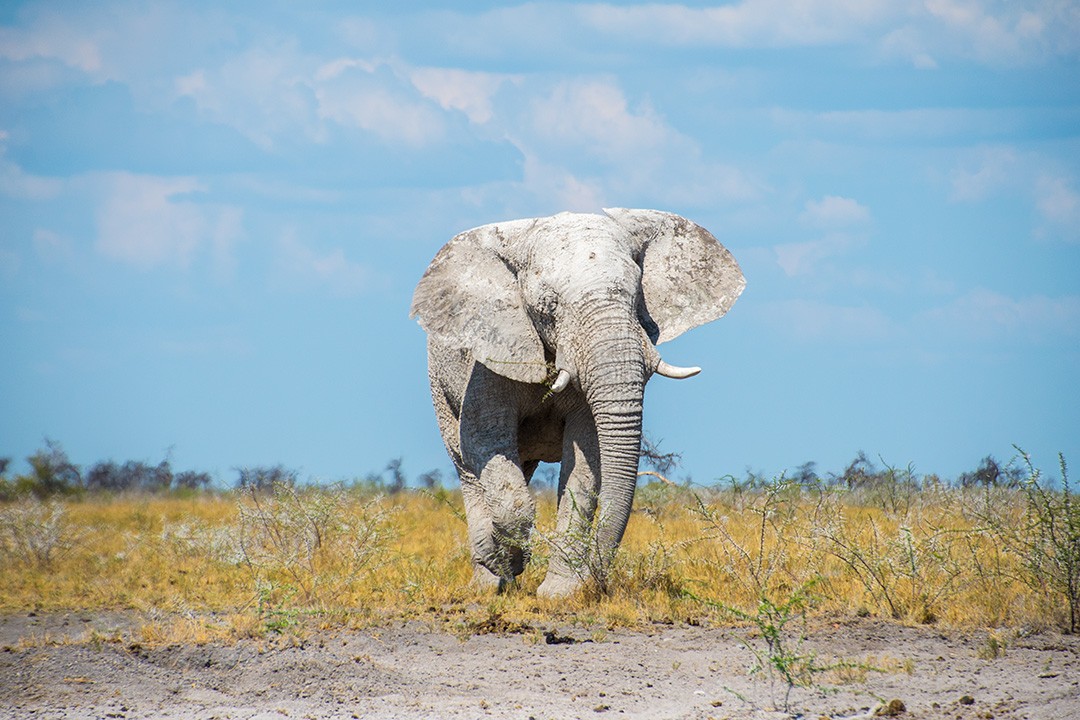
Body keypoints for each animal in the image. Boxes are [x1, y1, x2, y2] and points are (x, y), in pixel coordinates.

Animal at [410, 207, 743, 595]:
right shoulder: (490, 355)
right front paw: (505, 558)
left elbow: (585, 458)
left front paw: (559, 593)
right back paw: (488, 582)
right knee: (465, 463)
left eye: (637, 297)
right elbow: (483, 438)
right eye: (548, 305)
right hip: (438, 378)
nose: (597, 580)